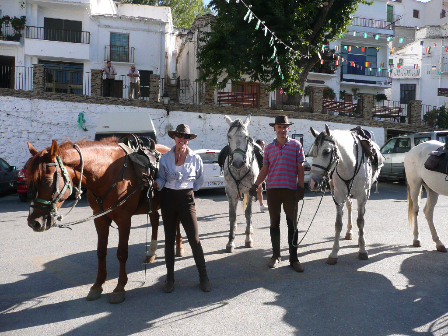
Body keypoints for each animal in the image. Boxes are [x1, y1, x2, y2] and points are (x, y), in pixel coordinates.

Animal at [25, 138, 182, 304]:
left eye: (48, 181)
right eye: (29, 180)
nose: (34, 222)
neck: (105, 173)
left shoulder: (124, 220)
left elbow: (122, 253)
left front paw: (120, 288)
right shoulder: (99, 219)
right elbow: (101, 252)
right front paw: (97, 285)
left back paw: (179, 247)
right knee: (155, 220)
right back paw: (151, 252)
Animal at [223, 115, 260, 252]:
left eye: (246, 137)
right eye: (229, 136)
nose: (238, 163)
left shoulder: (250, 191)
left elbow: (248, 213)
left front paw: (248, 239)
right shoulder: (231, 191)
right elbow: (232, 215)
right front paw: (230, 242)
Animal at [310, 124, 380, 264]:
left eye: (326, 152)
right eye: (312, 153)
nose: (313, 183)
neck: (349, 164)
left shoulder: (362, 195)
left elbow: (361, 221)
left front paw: (362, 250)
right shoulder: (339, 195)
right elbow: (338, 224)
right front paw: (333, 253)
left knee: (361, 212)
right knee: (349, 207)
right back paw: (349, 232)